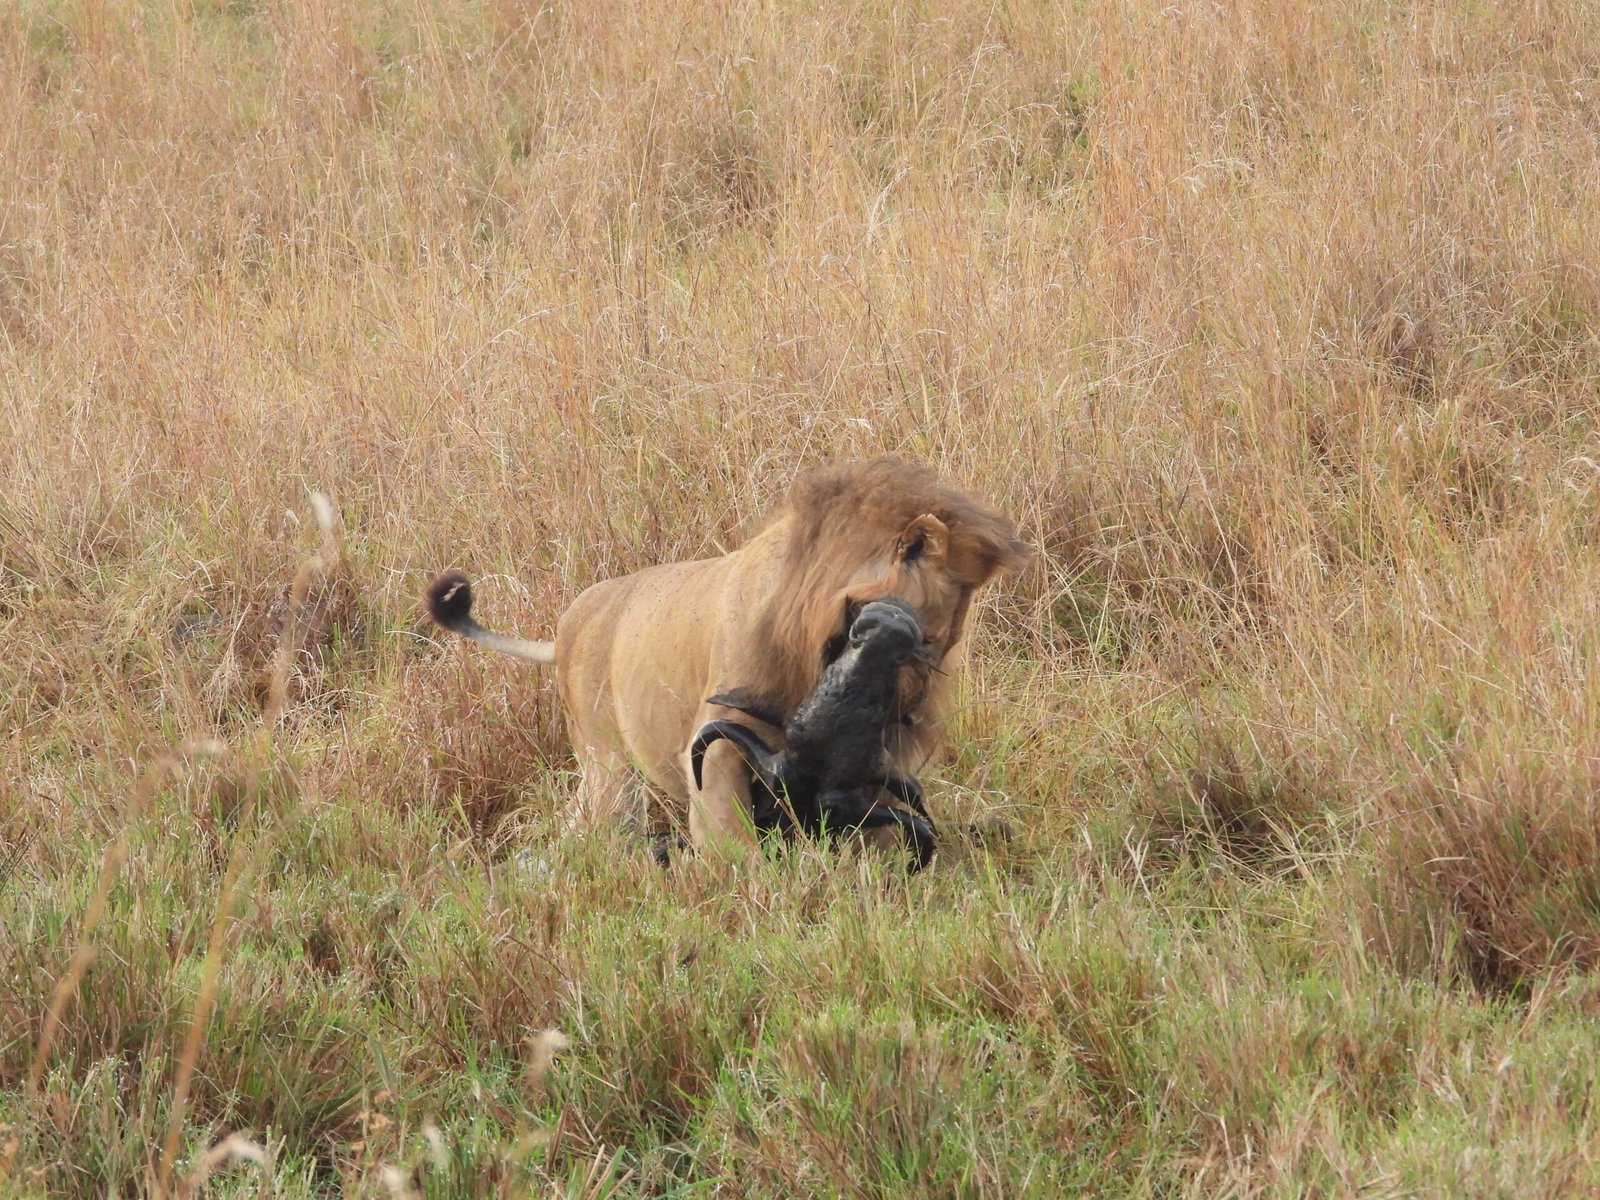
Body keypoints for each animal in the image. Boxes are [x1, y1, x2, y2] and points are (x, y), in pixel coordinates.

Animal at [422, 454, 1024, 857]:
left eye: (935, 648)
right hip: (608, 768)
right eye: (919, 642)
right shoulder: (717, 735)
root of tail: (569, 622)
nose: (908, 710)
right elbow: (727, 840)